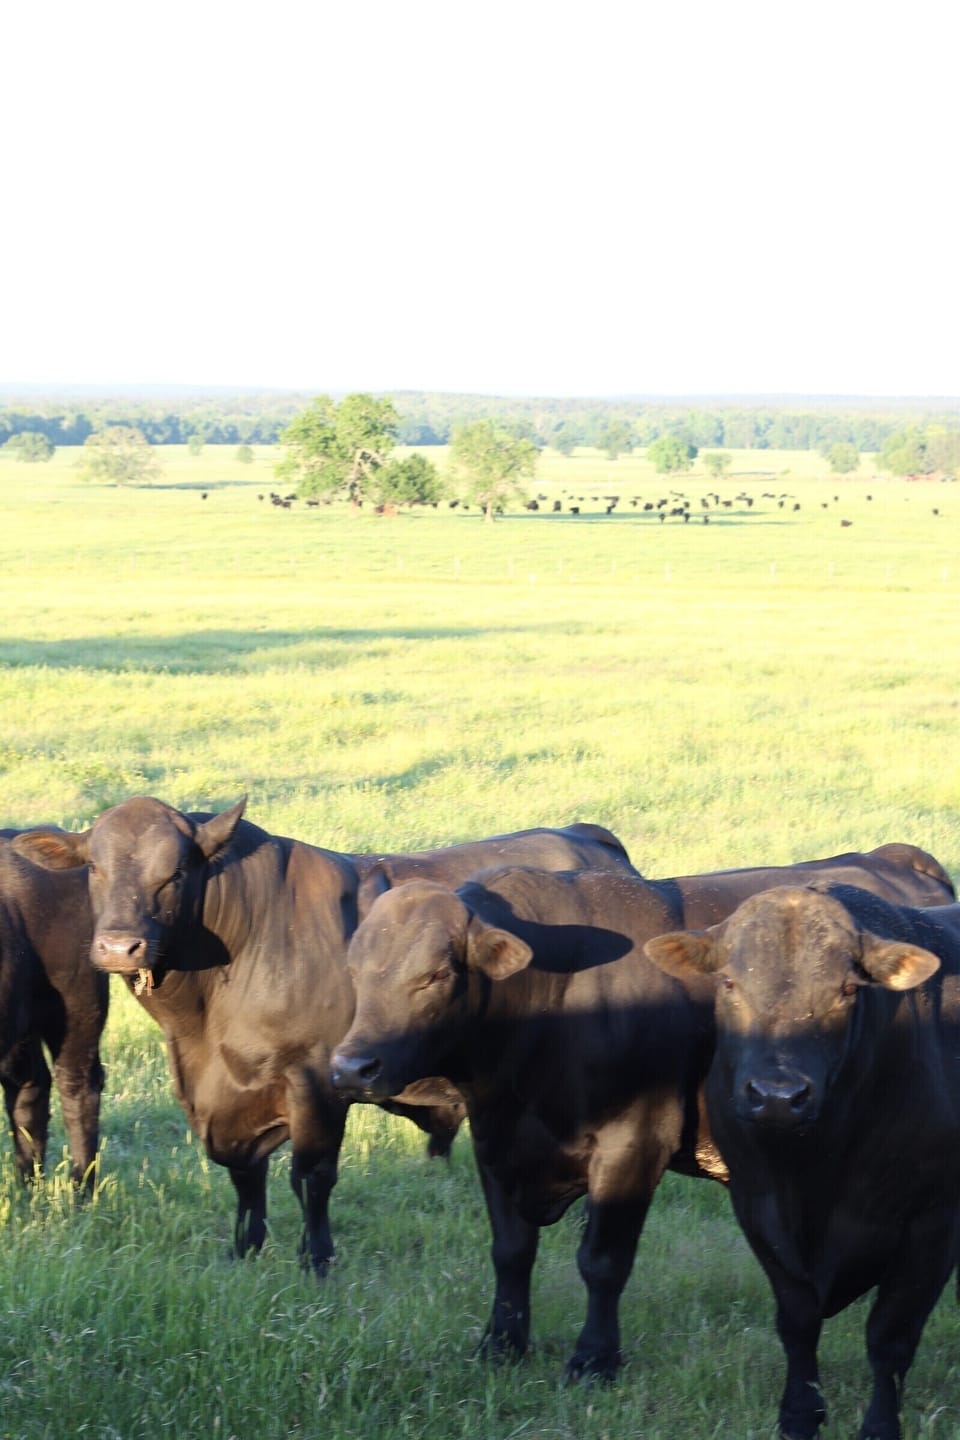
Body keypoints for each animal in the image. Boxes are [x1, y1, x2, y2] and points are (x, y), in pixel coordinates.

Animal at [0, 835, 105, 1189]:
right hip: (20, 1025)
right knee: (29, 1085)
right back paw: (27, 1184)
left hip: (78, 1009)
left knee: (77, 1086)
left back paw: (80, 1189)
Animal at [11, 797, 636, 1272]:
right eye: (95, 868)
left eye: (177, 872)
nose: (120, 946)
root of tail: (587, 836)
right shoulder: (226, 1098)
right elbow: (246, 1179)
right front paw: (245, 1250)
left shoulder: (315, 1078)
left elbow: (311, 1176)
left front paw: (316, 1261)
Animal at [328, 846, 955, 1382]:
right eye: (355, 972)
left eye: (435, 975)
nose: (352, 1067)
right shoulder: (496, 1141)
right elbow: (510, 1253)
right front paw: (501, 1344)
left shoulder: (634, 1140)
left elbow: (602, 1261)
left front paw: (594, 1359)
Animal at [644, 884, 960, 1440]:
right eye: (728, 981)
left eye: (847, 990)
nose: (777, 1096)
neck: (812, 1173)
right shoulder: (757, 1209)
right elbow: (797, 1323)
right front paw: (798, 1414)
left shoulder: (932, 1225)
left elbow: (890, 1338)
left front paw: (880, 1426)